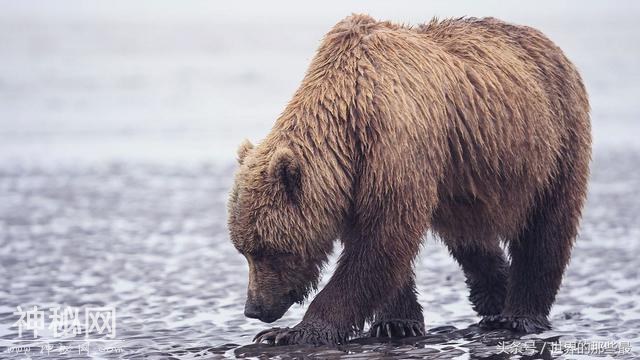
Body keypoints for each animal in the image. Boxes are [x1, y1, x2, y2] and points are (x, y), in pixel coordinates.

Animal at [225, 14, 592, 346]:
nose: (254, 308)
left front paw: (293, 332)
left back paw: (519, 315)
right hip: (464, 175)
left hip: (555, 140)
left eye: (269, 249)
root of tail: (549, 43)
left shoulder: (395, 145)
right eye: (243, 250)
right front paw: (396, 323)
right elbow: (382, 246)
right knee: (469, 235)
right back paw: (494, 297)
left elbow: (382, 241)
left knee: (546, 229)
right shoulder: (357, 178)